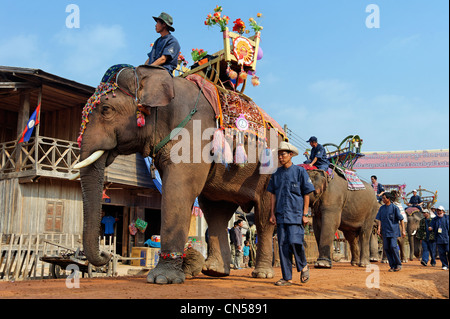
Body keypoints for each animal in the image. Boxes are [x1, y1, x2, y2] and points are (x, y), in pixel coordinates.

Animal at [75, 66, 284, 286]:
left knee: (263, 216)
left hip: (271, 168)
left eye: (106, 110)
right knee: (216, 211)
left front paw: (161, 279)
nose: (107, 255)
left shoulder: (194, 134)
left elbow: (179, 189)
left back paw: (262, 274)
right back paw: (214, 271)